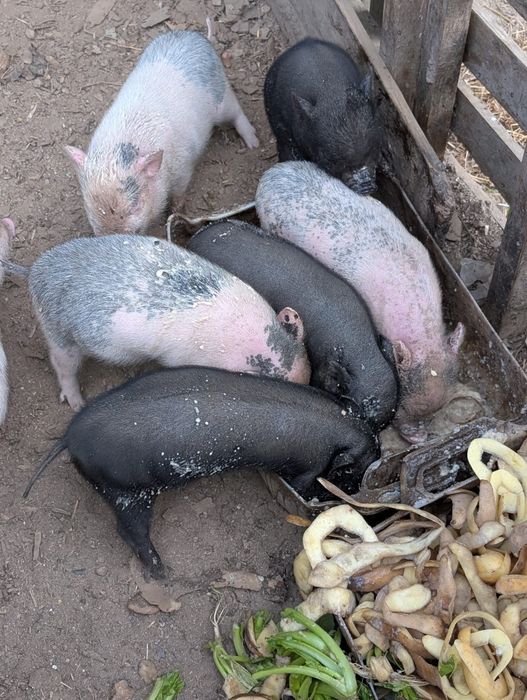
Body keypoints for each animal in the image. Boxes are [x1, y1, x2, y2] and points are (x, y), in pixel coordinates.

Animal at [3, 233, 310, 410]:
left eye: (296, 339)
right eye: (267, 372)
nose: (303, 376)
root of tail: (33, 270)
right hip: (57, 332)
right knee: (62, 366)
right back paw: (77, 405)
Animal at [23, 366, 380, 578]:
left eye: (377, 445)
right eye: (359, 464)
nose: (356, 488)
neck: (337, 427)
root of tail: (69, 438)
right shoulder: (307, 468)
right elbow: (304, 485)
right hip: (126, 491)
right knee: (129, 531)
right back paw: (162, 572)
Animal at [65, 30, 259, 236]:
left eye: (134, 207)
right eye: (90, 205)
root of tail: (197, 36)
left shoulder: (183, 168)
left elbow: (179, 195)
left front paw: (175, 213)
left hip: (222, 99)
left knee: (236, 110)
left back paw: (254, 144)